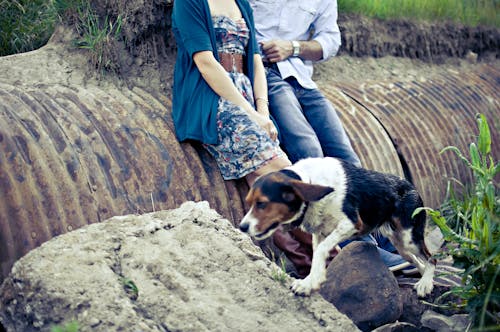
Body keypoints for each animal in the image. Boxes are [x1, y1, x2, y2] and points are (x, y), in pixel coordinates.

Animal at [238, 157, 434, 296]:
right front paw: (312, 281)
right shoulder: (319, 234)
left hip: (409, 238)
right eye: (249, 202)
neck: (311, 180)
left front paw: (308, 283)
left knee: (432, 259)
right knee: (417, 261)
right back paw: (424, 279)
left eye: (262, 204)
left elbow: (320, 251)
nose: (242, 227)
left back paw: (425, 284)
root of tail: (410, 185)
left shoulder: (351, 224)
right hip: (401, 245)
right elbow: (316, 255)